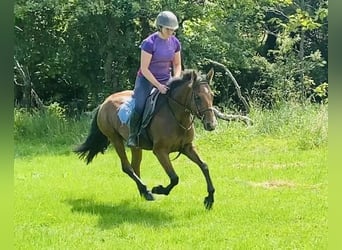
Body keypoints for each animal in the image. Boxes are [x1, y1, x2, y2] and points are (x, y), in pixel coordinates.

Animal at [74, 68, 218, 209]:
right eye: (197, 97)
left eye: (212, 96)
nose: (211, 125)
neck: (176, 116)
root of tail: (104, 103)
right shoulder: (160, 151)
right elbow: (174, 178)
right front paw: (158, 189)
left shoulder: (187, 147)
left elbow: (204, 166)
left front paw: (209, 199)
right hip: (115, 139)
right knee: (127, 167)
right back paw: (146, 190)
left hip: (136, 146)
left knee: (135, 166)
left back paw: (144, 192)